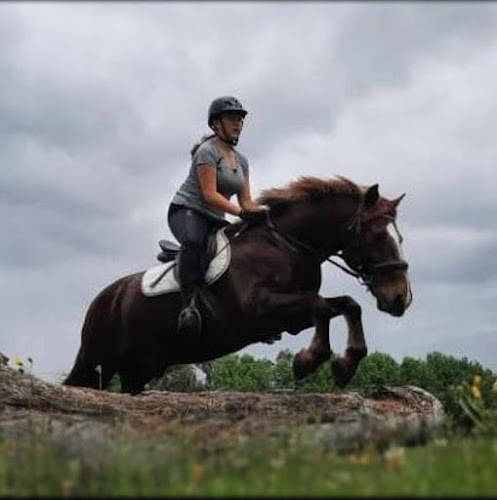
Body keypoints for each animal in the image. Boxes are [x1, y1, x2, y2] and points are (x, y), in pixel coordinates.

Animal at [63, 176, 410, 394]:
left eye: (400, 238)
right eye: (375, 236)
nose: (400, 298)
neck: (287, 246)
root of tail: (105, 297)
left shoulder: (291, 316)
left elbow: (346, 305)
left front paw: (345, 365)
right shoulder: (261, 311)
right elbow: (321, 307)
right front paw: (307, 361)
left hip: (139, 367)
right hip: (97, 359)